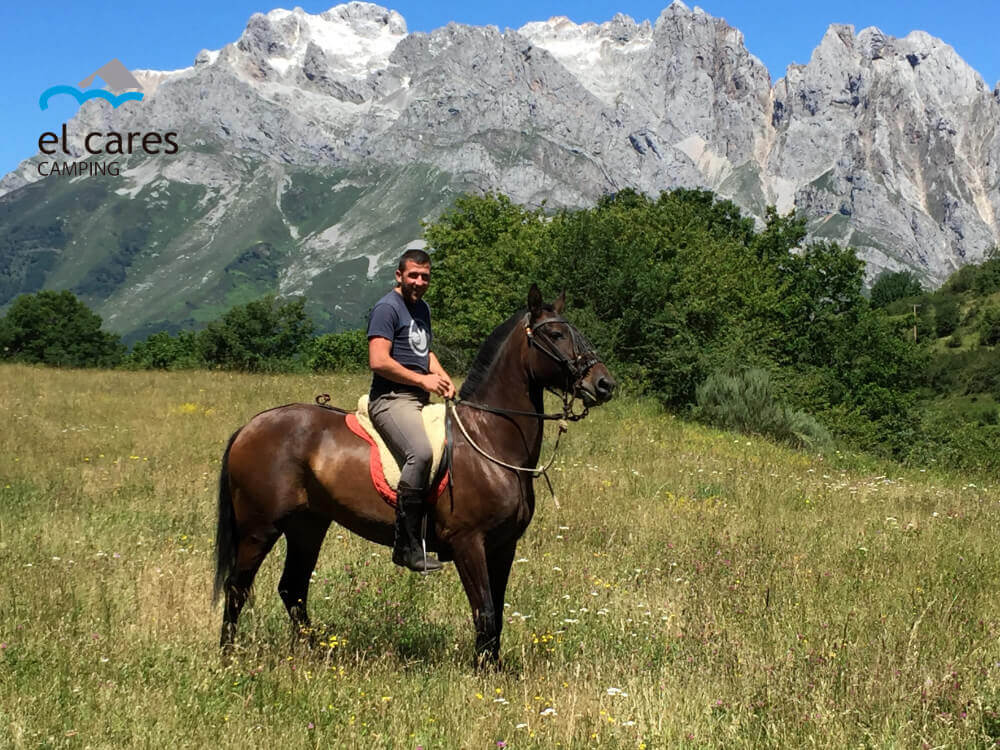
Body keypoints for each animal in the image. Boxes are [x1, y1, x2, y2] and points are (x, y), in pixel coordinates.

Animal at [214, 284, 612, 668]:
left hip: (308, 525)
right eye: (557, 334)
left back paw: (315, 653)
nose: (605, 384)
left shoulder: (503, 545)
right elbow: (484, 612)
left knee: (293, 588)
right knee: (237, 587)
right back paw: (228, 658)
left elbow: (496, 615)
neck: (490, 436)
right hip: (259, 528)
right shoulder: (469, 543)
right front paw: (483, 674)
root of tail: (250, 427)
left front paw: (495, 671)